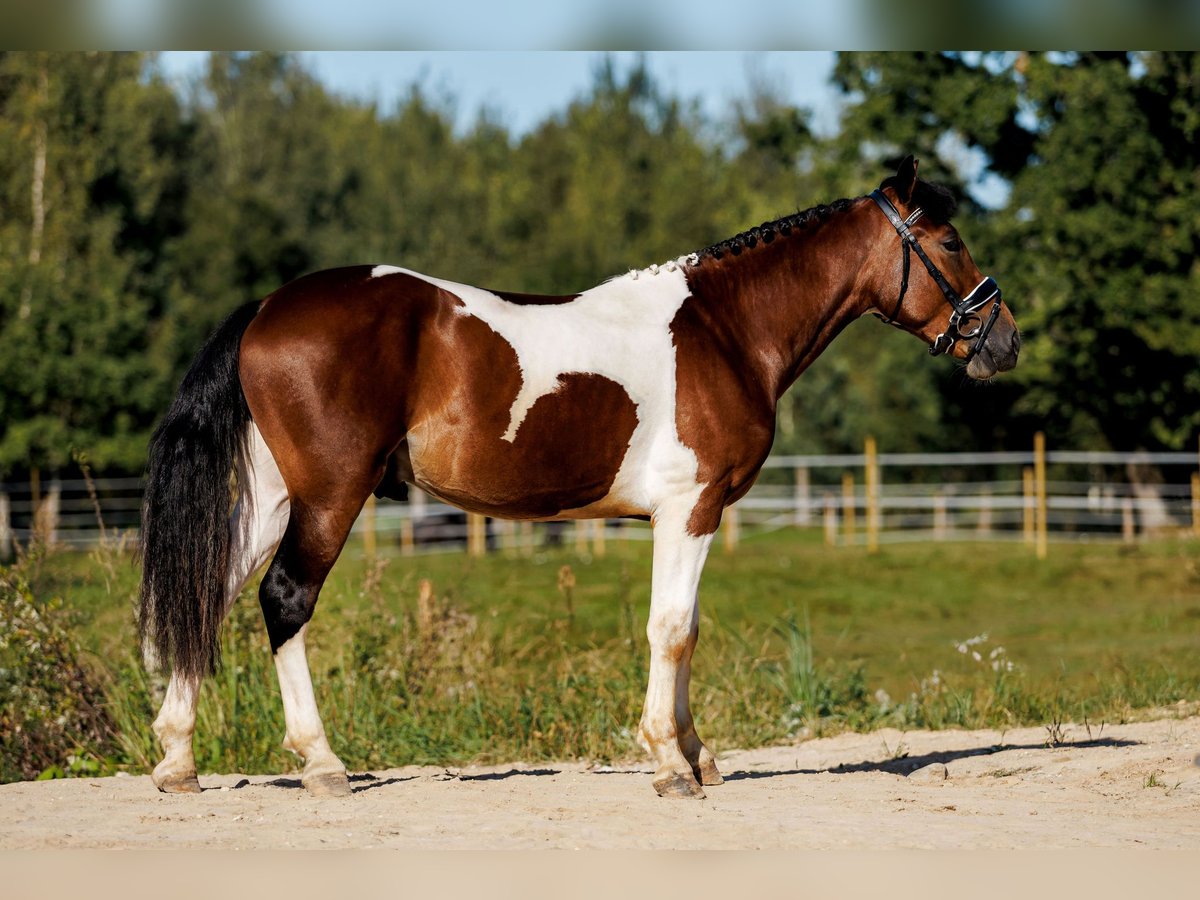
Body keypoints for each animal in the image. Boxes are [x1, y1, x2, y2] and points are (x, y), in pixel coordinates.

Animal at [140, 157, 1022, 801]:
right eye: (949, 243)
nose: (1003, 339)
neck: (726, 330)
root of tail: (265, 308)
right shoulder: (690, 507)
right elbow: (672, 629)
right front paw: (669, 765)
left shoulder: (690, 515)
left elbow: (686, 630)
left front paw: (697, 756)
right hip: (329, 496)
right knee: (284, 597)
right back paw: (322, 764)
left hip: (273, 495)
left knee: (210, 591)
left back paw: (178, 761)